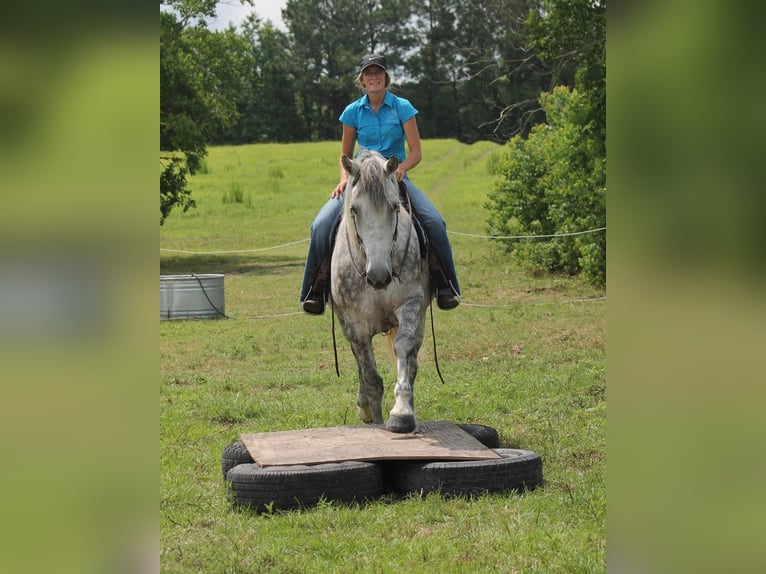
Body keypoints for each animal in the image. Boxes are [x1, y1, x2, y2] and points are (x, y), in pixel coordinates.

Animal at [332, 151, 432, 434]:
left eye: (395, 207)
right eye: (354, 209)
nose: (378, 276)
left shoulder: (411, 303)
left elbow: (404, 349)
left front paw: (402, 413)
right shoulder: (355, 326)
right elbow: (371, 377)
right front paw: (374, 419)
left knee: (413, 361)